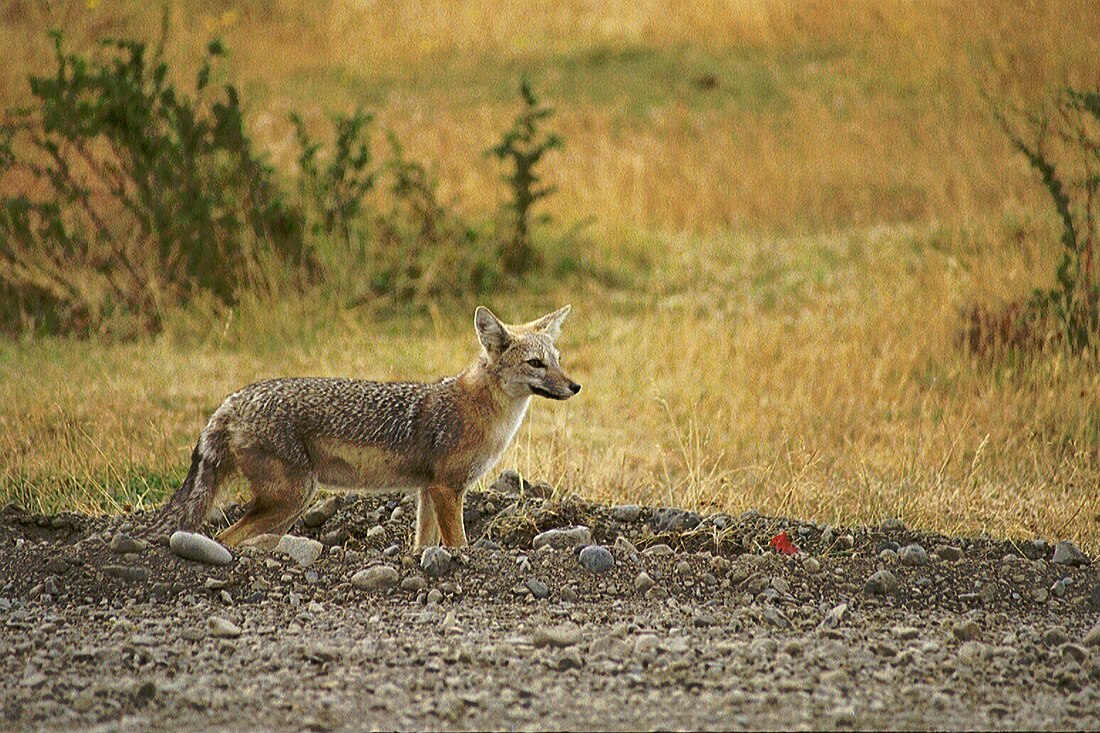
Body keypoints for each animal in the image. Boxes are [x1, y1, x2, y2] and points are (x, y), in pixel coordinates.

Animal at [144, 299, 585, 545]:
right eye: (536, 364)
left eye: (558, 359)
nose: (575, 386)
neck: (481, 412)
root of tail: (232, 400)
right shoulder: (447, 489)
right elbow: (459, 544)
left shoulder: (428, 491)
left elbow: (424, 545)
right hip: (293, 498)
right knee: (223, 537)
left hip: (288, 508)